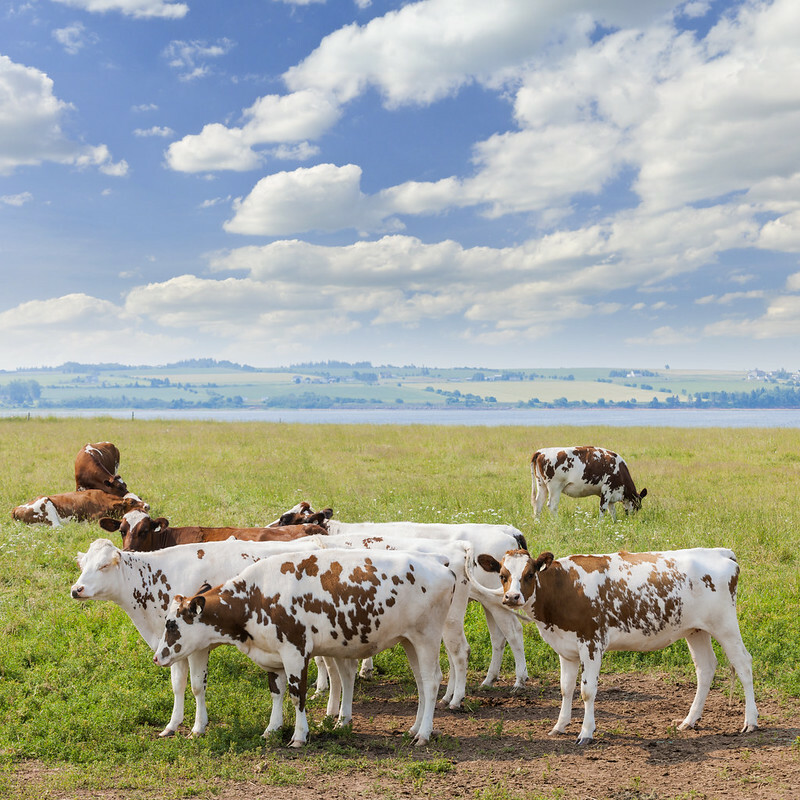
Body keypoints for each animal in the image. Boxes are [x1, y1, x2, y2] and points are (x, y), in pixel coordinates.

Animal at [12, 490, 150, 528]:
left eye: (140, 497)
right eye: (132, 501)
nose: (147, 506)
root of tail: (16, 508)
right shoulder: (94, 519)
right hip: (47, 505)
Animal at [153, 548, 460, 748]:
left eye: (171, 624)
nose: (156, 657)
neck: (255, 597)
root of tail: (439, 563)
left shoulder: (295, 652)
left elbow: (296, 694)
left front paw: (299, 736)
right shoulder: (273, 655)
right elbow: (277, 693)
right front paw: (272, 729)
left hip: (427, 637)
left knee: (432, 682)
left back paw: (424, 734)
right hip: (410, 641)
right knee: (421, 683)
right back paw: (414, 728)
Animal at [466, 544, 760, 744]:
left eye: (529, 575)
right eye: (503, 575)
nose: (512, 597)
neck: (564, 587)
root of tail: (720, 552)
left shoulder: (592, 643)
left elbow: (587, 691)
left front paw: (586, 732)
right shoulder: (566, 649)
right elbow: (565, 689)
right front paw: (560, 726)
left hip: (725, 625)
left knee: (744, 664)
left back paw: (751, 721)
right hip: (695, 630)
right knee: (705, 669)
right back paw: (690, 720)